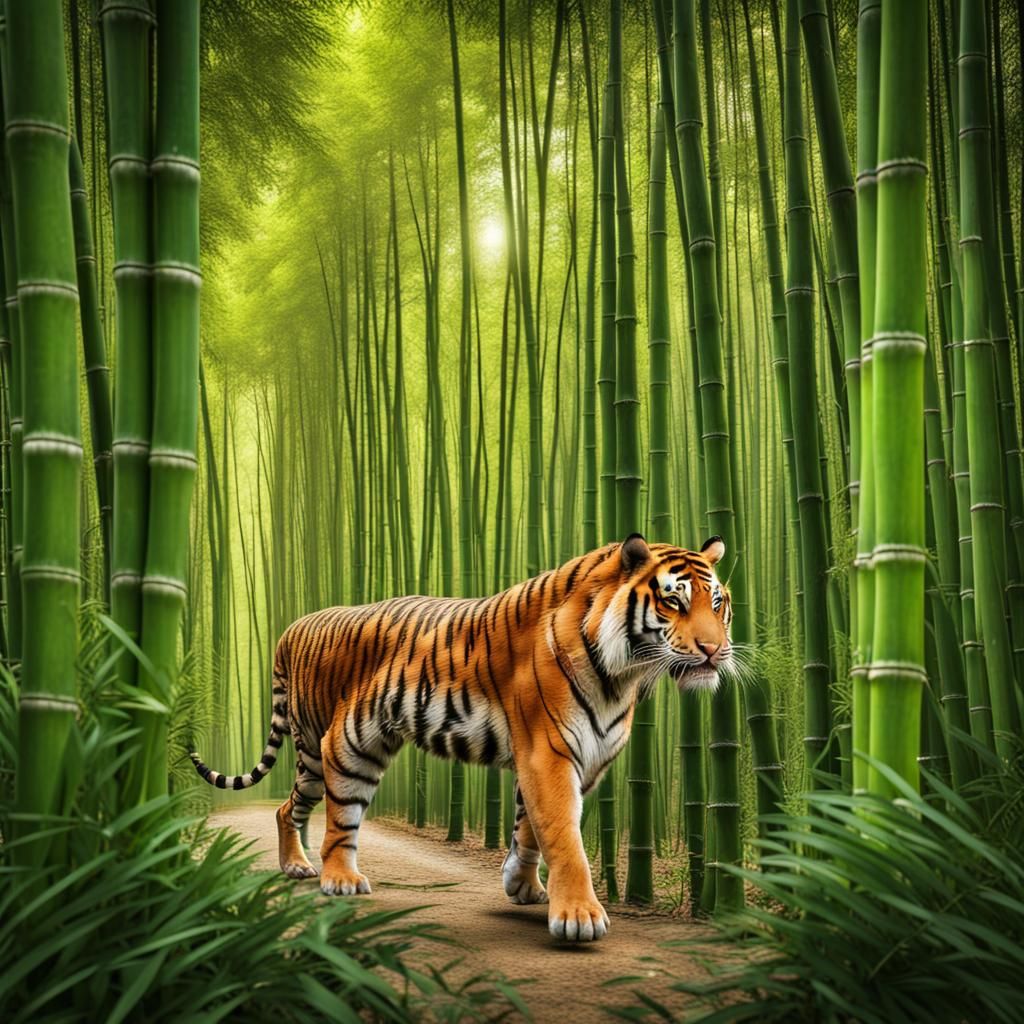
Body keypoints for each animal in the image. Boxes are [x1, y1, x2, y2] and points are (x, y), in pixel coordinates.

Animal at [190, 533, 734, 943]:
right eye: (673, 601)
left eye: (718, 603)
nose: (715, 650)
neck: (625, 675)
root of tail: (292, 627)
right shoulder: (550, 752)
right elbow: (564, 834)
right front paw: (579, 915)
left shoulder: (570, 758)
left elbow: (530, 827)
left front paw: (521, 884)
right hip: (341, 742)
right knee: (336, 816)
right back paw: (337, 879)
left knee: (286, 807)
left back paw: (298, 867)